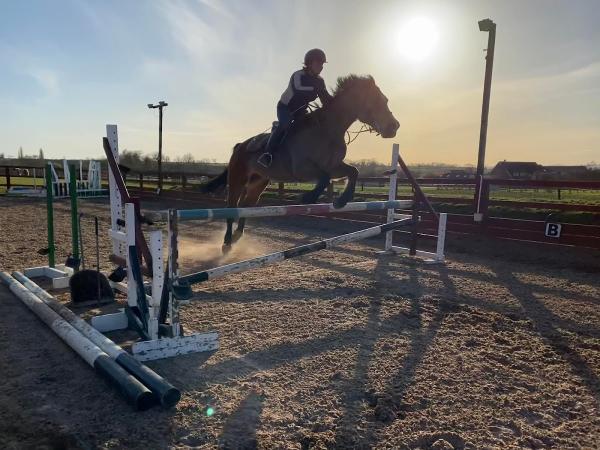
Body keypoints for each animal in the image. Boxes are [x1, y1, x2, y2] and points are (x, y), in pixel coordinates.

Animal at [199, 74, 400, 251]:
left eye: (385, 100)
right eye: (377, 100)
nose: (394, 127)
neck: (327, 129)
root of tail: (240, 146)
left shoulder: (333, 166)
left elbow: (353, 171)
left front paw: (341, 201)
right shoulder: (303, 169)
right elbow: (325, 178)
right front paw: (307, 198)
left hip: (258, 183)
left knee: (245, 206)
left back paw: (237, 236)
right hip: (237, 179)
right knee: (231, 208)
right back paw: (227, 242)